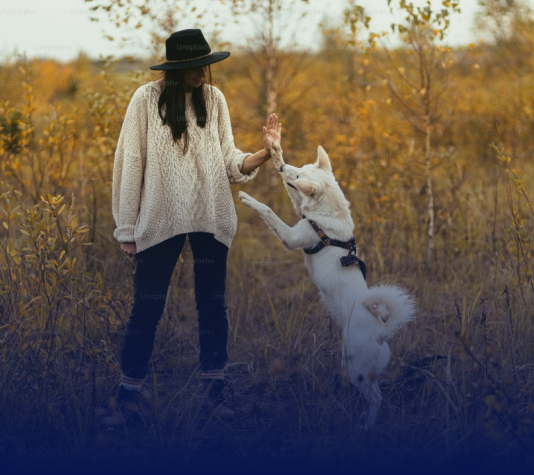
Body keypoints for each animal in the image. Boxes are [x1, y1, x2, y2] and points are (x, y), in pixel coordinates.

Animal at [240, 141, 418, 432]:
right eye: (298, 168)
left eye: (298, 176)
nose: (283, 168)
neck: (328, 214)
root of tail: (382, 332)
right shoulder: (300, 212)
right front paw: (275, 151)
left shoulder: (292, 236)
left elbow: (268, 211)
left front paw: (248, 198)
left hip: (357, 371)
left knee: (376, 398)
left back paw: (366, 425)